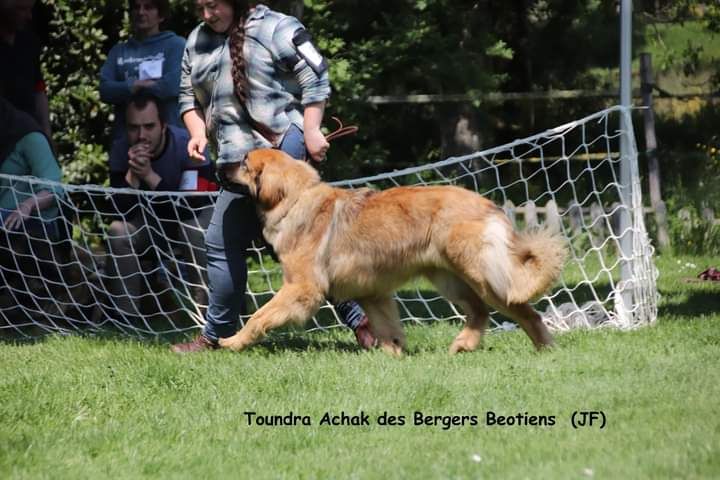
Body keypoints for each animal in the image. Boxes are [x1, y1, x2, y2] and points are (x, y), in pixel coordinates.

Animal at [217, 148, 564, 354]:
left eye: (244, 162)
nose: (218, 165)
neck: (295, 199)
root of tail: (488, 204)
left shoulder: (301, 288)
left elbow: (259, 316)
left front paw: (233, 341)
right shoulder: (373, 292)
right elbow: (387, 328)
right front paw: (393, 355)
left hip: (480, 274)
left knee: (522, 310)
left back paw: (545, 348)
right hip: (449, 278)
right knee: (479, 311)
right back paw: (463, 345)